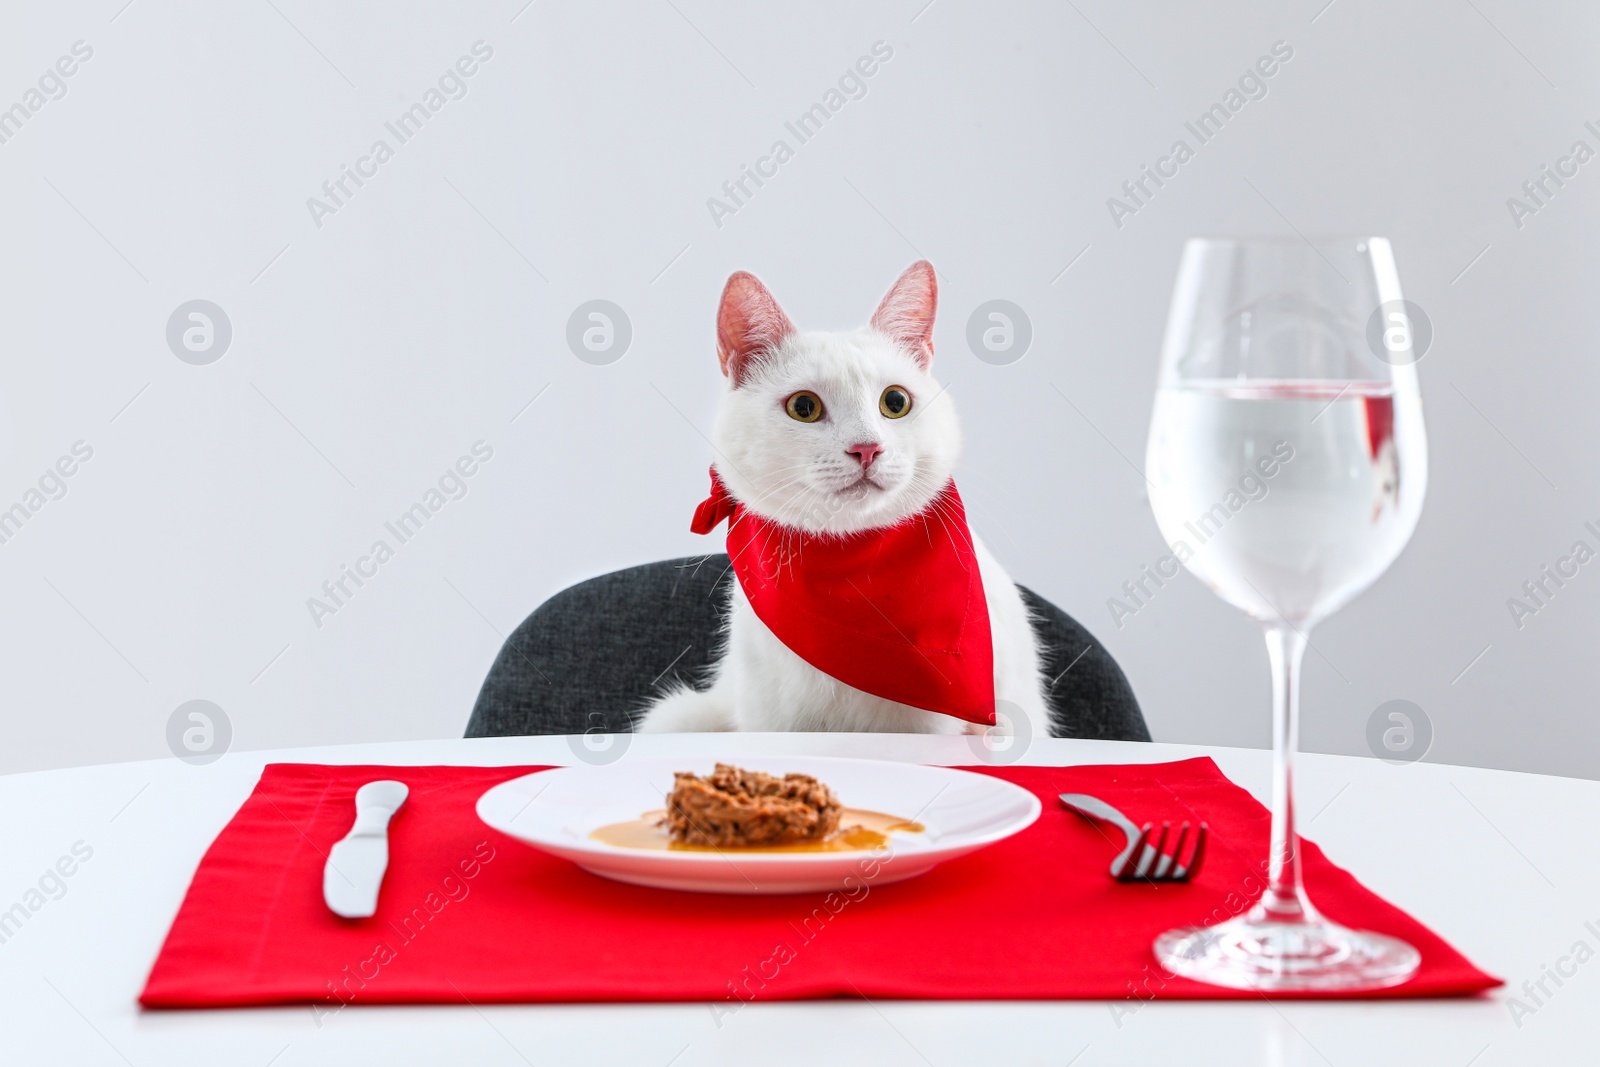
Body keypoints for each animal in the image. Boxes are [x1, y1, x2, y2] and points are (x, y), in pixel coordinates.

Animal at [636, 262, 1049, 739]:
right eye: (803, 407)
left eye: (895, 401)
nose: (867, 448)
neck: (851, 571)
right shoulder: (770, 719)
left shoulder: (930, 727)